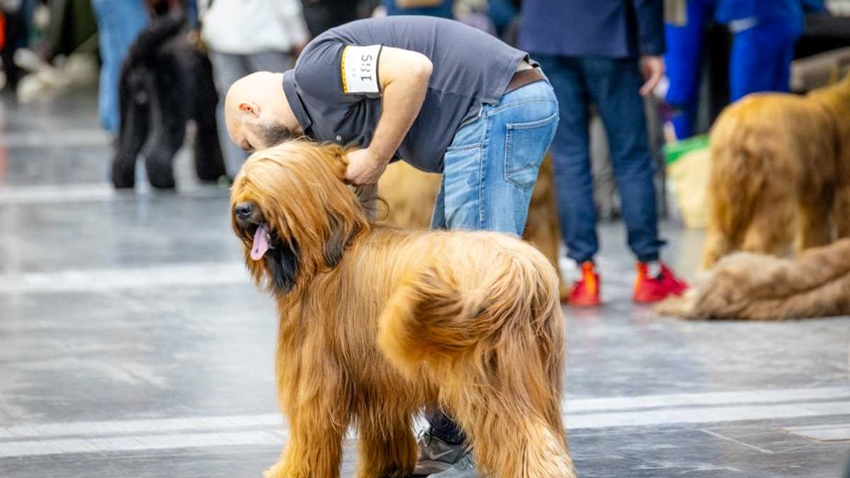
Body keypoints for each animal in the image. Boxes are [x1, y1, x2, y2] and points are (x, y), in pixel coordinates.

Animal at [112, 12, 225, 189]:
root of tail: (143, 57)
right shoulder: (212, 117)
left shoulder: (206, 119)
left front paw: (209, 172)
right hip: (170, 114)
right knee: (156, 154)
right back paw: (166, 183)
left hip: (131, 114)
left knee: (125, 152)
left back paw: (123, 182)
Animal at [700, 74, 848, 268]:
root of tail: (738, 127)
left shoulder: (816, 197)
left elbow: (814, 232)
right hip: (773, 198)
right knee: (757, 244)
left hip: (723, 200)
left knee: (715, 246)